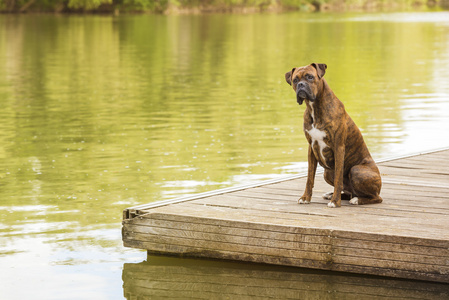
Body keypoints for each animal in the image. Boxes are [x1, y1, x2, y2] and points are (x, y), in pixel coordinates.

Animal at [284, 63, 382, 207]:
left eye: (310, 77)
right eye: (295, 80)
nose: (301, 84)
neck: (314, 107)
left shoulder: (339, 147)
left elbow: (338, 179)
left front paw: (335, 201)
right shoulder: (311, 148)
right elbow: (309, 178)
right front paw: (305, 197)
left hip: (356, 170)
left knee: (376, 197)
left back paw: (356, 200)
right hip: (327, 172)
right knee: (348, 191)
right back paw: (334, 195)